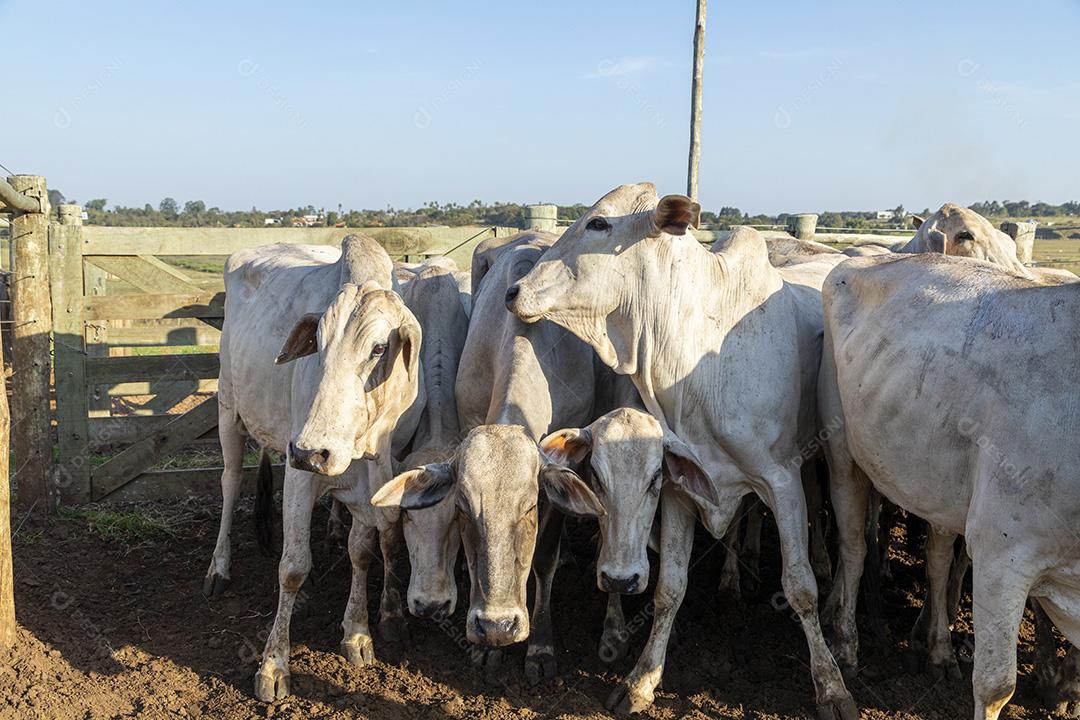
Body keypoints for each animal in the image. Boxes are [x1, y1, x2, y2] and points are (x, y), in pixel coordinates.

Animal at [204, 235, 423, 702]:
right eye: (317, 343)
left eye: (379, 348)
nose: (312, 451)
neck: (365, 445)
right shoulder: (299, 475)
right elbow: (292, 567)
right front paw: (273, 665)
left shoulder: (375, 483)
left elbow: (365, 550)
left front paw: (358, 632)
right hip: (228, 408)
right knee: (230, 484)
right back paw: (218, 567)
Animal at [374, 231, 632, 682]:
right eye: (462, 507)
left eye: (530, 506)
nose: (497, 625)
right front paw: (484, 648)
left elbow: (544, 559)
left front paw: (540, 648)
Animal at [505, 183, 856, 718]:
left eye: (599, 223)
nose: (515, 292)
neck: (698, 357)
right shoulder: (680, 489)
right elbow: (669, 587)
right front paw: (641, 680)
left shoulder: (782, 481)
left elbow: (799, 589)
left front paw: (832, 687)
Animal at [819, 252, 1080, 720]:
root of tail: (861, 257)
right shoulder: (1002, 555)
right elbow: (995, 686)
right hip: (841, 453)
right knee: (852, 547)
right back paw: (846, 648)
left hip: (937, 487)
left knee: (937, 559)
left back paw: (938, 651)